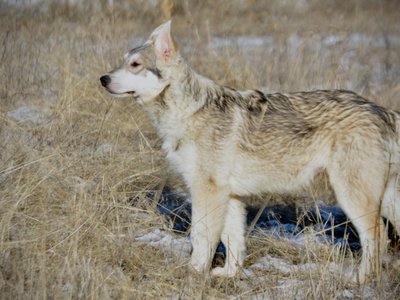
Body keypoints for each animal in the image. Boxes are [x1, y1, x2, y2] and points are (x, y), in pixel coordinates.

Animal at [101, 20, 400, 282]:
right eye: (122, 61)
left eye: (135, 65)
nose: (103, 78)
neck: (187, 111)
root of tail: (381, 110)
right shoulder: (229, 195)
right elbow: (233, 240)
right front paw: (229, 275)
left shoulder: (207, 191)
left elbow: (201, 237)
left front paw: (193, 274)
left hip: (353, 196)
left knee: (377, 238)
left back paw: (360, 279)